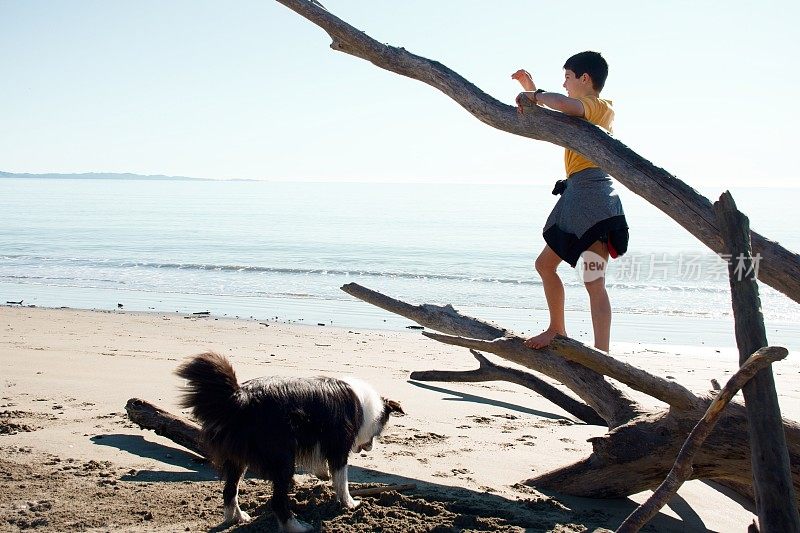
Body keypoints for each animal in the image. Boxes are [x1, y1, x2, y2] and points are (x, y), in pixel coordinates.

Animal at [174, 352, 400, 528]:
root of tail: (239, 398)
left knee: (230, 490)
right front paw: (350, 504)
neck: (363, 406)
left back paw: (237, 518)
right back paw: (296, 526)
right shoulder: (338, 446)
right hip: (282, 458)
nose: (369, 448)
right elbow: (342, 480)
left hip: (237, 458)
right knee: (277, 502)